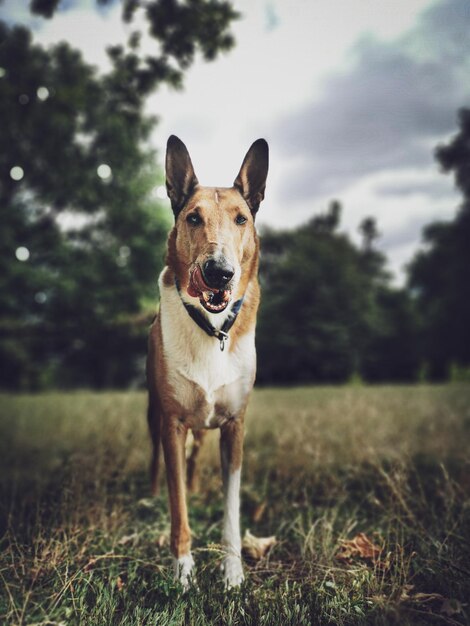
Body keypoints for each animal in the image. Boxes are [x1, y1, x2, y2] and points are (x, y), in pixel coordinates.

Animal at [145, 134, 270, 588]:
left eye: (241, 219)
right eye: (193, 218)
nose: (219, 272)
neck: (211, 328)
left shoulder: (235, 425)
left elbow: (231, 510)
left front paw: (233, 574)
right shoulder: (172, 423)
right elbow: (178, 507)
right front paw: (183, 574)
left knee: (197, 455)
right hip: (153, 411)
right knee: (157, 458)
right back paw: (149, 496)